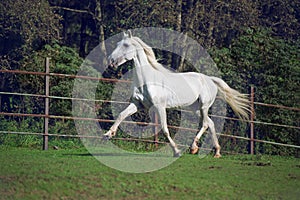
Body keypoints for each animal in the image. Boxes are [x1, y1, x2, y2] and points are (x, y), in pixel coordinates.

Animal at [104, 30, 250, 158]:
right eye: (117, 44)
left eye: (126, 45)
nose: (110, 61)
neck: (146, 79)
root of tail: (210, 79)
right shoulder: (138, 104)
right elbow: (121, 115)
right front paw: (108, 134)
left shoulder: (160, 107)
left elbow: (164, 129)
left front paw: (177, 152)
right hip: (195, 109)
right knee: (211, 123)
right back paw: (217, 153)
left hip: (204, 106)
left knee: (205, 124)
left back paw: (194, 148)